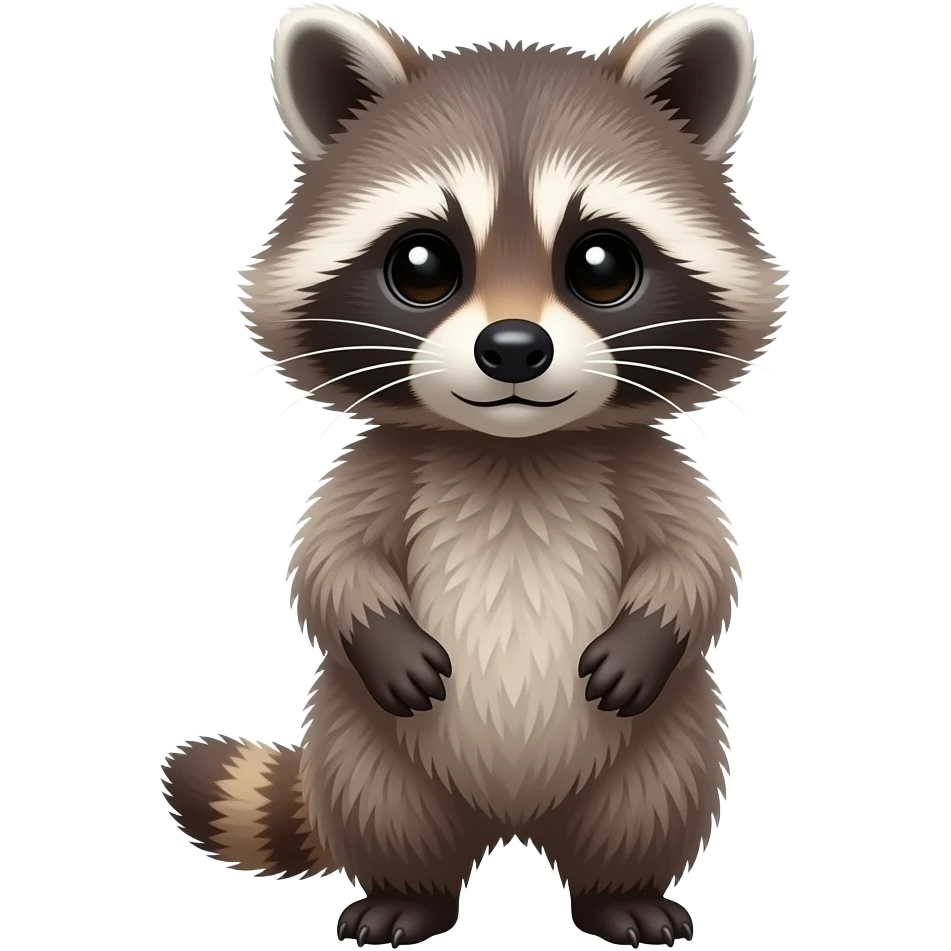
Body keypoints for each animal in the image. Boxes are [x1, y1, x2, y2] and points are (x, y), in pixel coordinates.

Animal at [163, 3, 786, 947]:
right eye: (422, 265)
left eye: (602, 264)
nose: (515, 350)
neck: (513, 447)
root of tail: (512, 820)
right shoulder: (382, 467)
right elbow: (327, 560)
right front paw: (371, 623)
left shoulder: (645, 467)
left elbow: (700, 559)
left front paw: (655, 625)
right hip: (359, 742)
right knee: (384, 805)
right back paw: (407, 893)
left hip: (668, 738)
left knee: (652, 800)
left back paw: (622, 890)